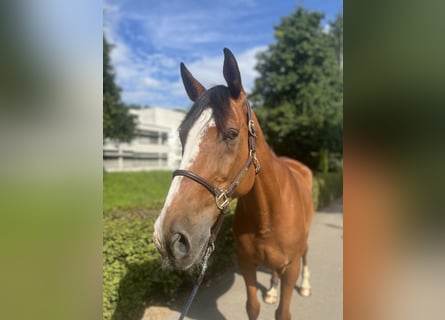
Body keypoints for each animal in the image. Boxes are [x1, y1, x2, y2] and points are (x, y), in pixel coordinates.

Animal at [154, 48, 314, 320]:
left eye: (231, 134)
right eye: (182, 136)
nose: (168, 238)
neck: (268, 218)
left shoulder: (290, 267)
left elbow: (283, 312)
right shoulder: (246, 263)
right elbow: (253, 307)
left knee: (305, 254)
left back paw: (305, 285)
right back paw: (272, 290)